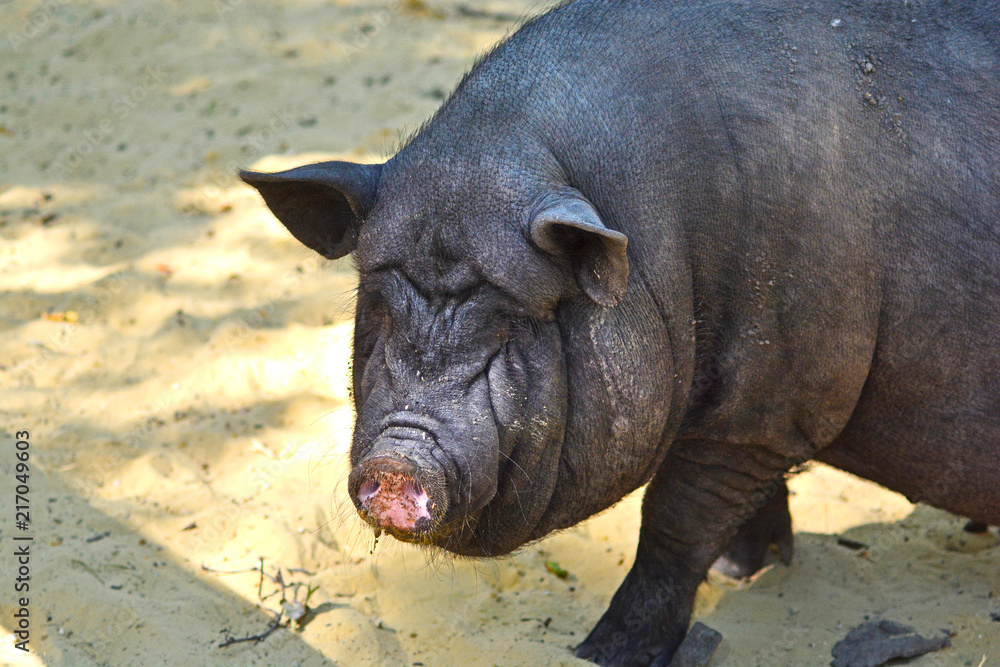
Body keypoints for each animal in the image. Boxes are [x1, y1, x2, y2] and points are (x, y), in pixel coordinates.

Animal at [239, 0, 1000, 663]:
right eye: (379, 306)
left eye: (512, 322)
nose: (398, 461)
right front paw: (743, 572)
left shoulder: (767, 405)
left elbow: (673, 523)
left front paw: (600, 651)